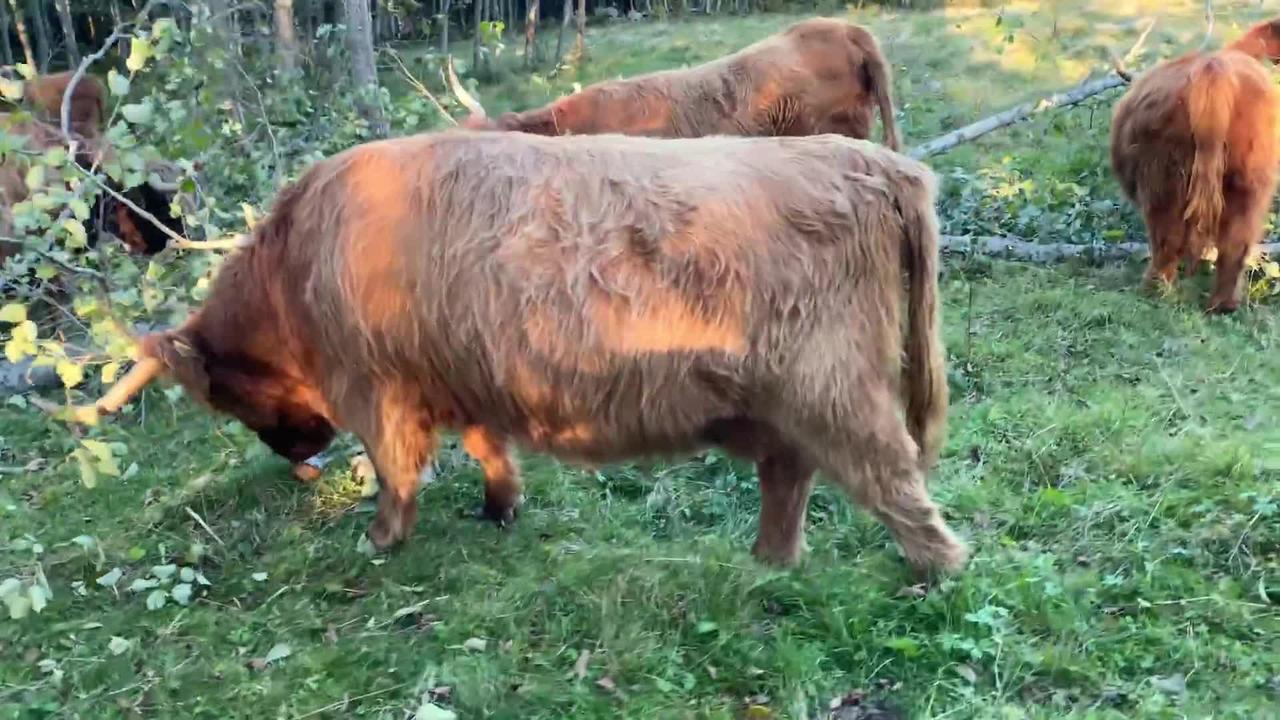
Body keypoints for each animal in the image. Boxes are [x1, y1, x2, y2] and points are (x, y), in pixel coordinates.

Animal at [81, 130, 966, 576]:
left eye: (226, 396)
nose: (297, 453)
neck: (291, 271)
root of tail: (869, 158)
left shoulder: (375, 387)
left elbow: (397, 469)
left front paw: (380, 540)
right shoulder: (461, 374)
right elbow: (486, 445)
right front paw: (500, 508)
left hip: (834, 389)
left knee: (891, 481)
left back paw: (936, 573)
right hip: (784, 400)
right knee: (790, 474)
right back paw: (767, 562)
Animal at [1110, 18, 1280, 312]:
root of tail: (1212, 69)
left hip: (1162, 178)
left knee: (1167, 241)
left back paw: (1153, 292)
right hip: (1249, 181)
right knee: (1235, 244)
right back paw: (1222, 305)